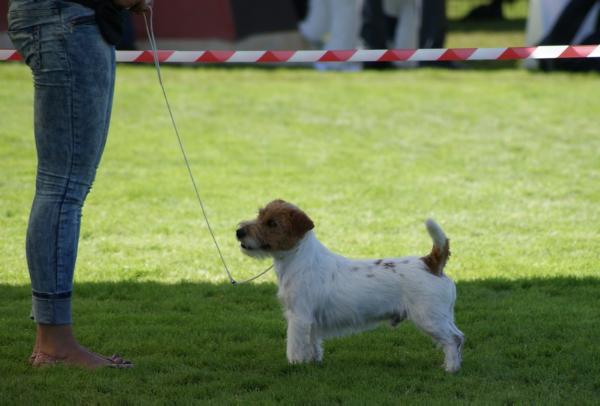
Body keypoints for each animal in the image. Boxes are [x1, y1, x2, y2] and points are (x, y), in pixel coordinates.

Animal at [236, 198, 464, 372]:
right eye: (259, 215)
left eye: (272, 223)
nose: (239, 232)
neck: (299, 258)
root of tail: (431, 262)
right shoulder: (310, 320)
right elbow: (313, 343)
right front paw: (313, 362)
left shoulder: (298, 317)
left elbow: (295, 345)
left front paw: (294, 365)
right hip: (442, 316)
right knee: (459, 337)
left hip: (429, 318)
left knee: (453, 339)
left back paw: (450, 369)